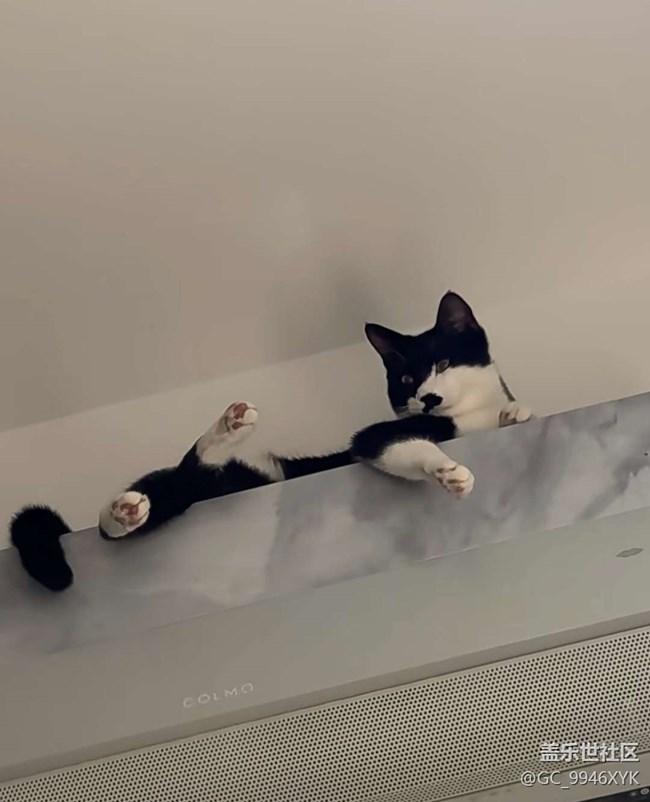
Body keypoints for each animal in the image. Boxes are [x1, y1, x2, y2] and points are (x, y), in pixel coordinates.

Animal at [9, 291, 531, 592]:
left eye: (442, 362)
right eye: (405, 378)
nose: (426, 398)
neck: (465, 419)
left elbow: (511, 415)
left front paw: (516, 413)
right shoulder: (372, 436)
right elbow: (405, 446)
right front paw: (447, 469)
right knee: (168, 487)